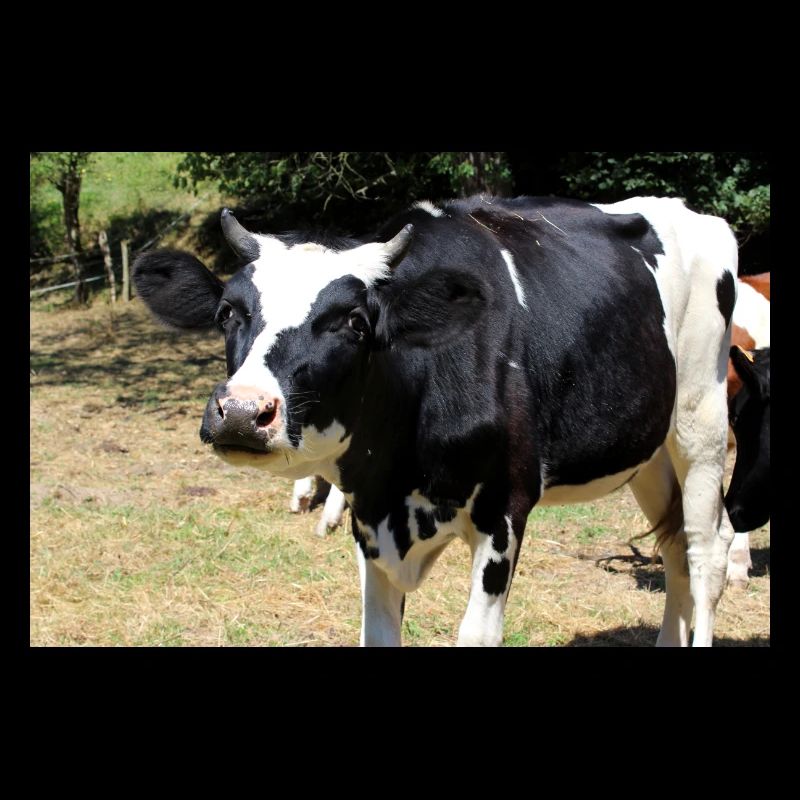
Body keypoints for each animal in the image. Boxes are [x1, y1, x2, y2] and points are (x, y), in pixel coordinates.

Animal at [133, 195, 739, 647]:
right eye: (227, 313)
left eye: (354, 322)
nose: (241, 411)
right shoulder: (370, 518)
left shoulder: (505, 510)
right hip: (649, 452)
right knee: (675, 550)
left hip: (701, 420)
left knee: (706, 552)